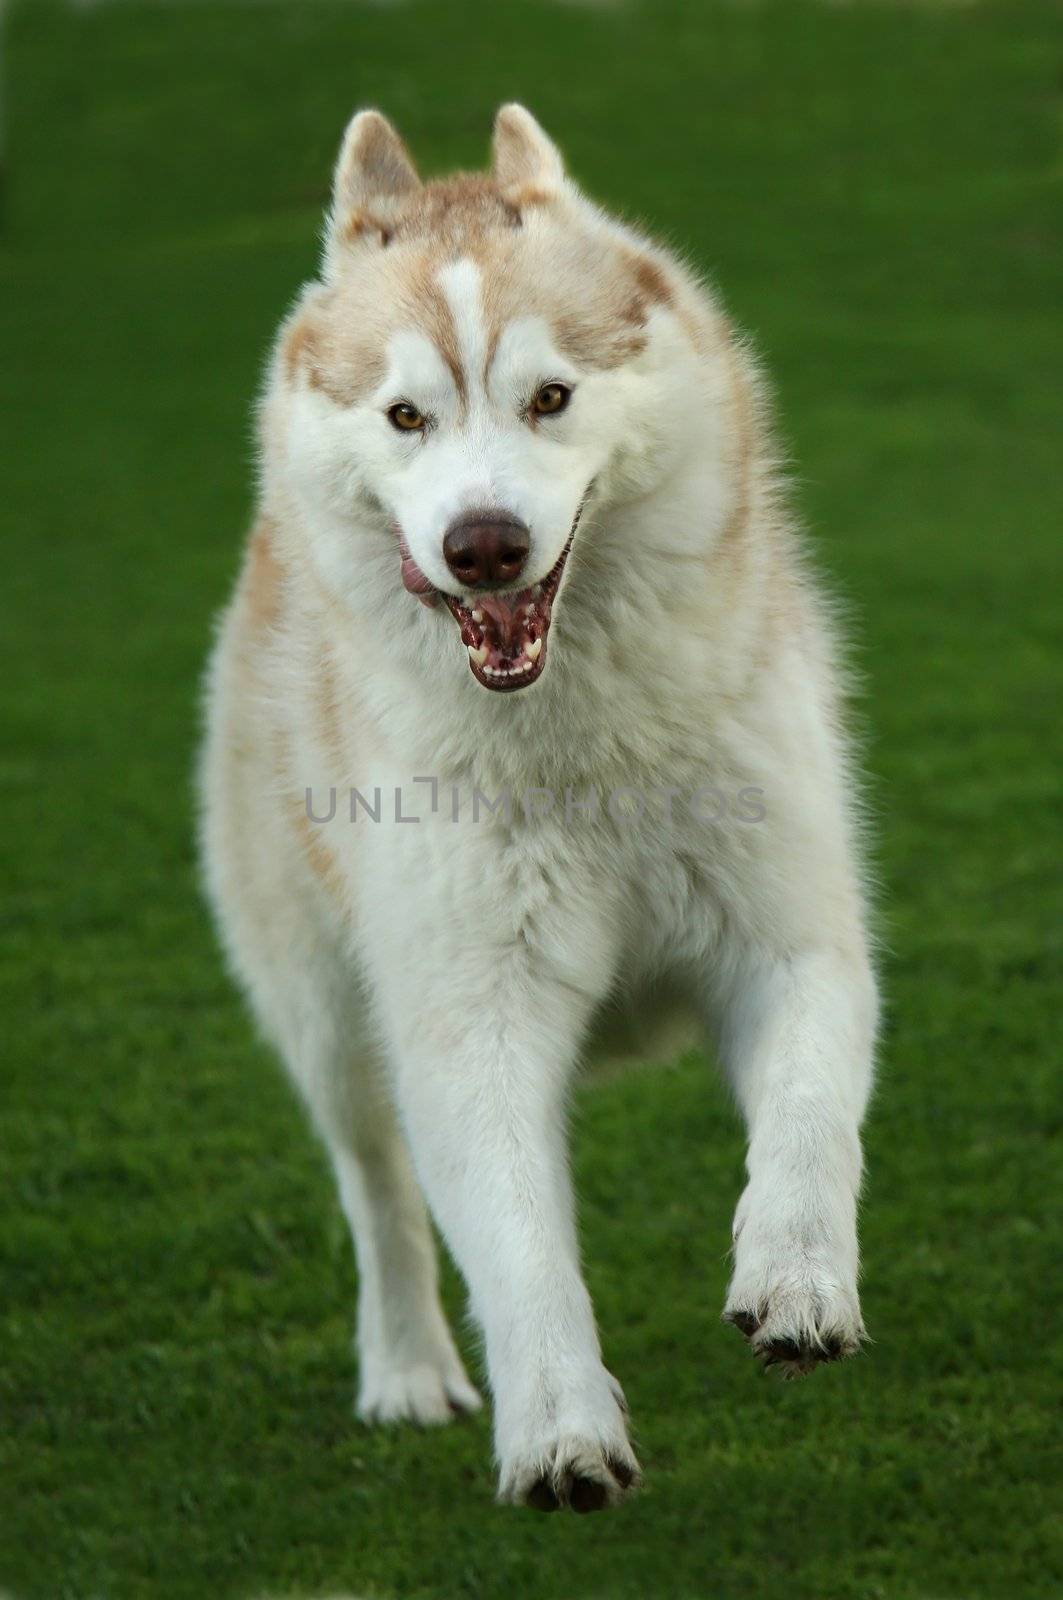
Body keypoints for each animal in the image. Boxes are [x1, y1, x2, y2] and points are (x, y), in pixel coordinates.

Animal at [201, 109, 877, 1510]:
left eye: (549, 397)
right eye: (406, 414)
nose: (484, 544)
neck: (580, 741)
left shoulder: (795, 939)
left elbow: (806, 1120)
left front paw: (794, 1276)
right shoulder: (471, 1021)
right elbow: (515, 1250)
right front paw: (557, 1426)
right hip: (325, 1011)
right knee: (377, 1190)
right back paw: (406, 1367)